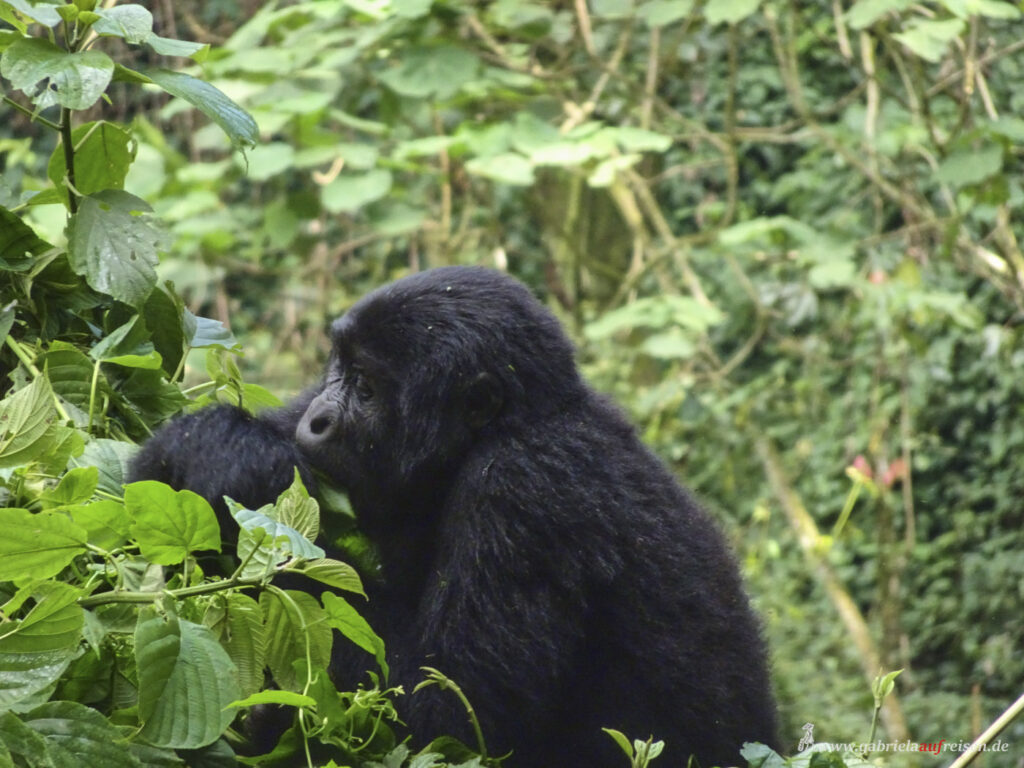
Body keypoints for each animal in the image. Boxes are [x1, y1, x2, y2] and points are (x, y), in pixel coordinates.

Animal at [132, 266, 778, 768]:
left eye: (367, 388)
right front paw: (205, 446)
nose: (316, 418)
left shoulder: (525, 488)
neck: (507, 423)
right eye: (336, 369)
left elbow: (448, 716)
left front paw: (241, 476)